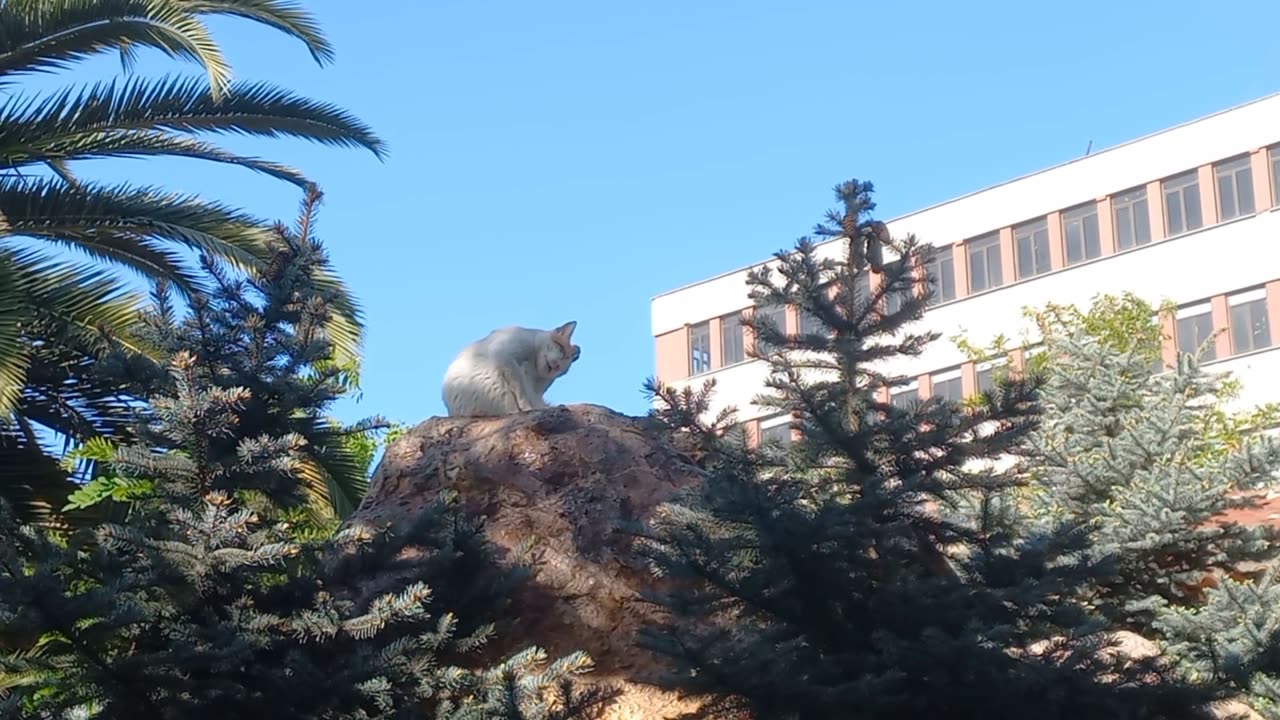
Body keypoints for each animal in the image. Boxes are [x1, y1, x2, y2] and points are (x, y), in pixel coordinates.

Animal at [440, 319, 581, 415]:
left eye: (563, 370)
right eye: (561, 349)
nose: (557, 366)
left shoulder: (536, 389)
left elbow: (531, 396)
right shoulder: (505, 356)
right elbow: (521, 391)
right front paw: (528, 408)